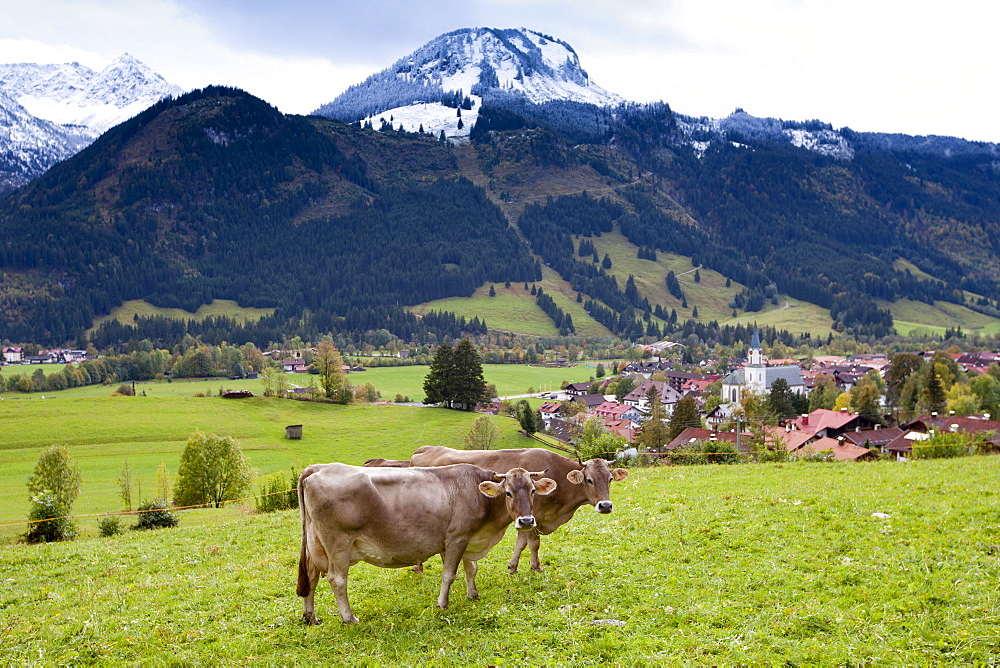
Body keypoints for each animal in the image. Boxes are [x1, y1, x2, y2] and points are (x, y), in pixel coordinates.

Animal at [292, 462, 560, 624]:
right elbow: (449, 575)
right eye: (508, 493)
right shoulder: (456, 538)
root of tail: (318, 468)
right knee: (337, 579)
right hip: (339, 543)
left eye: (533, 491)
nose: (527, 521)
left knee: (311, 578)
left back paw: (310, 616)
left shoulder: (464, 539)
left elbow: (471, 569)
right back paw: (349, 618)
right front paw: (443, 604)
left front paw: (473, 594)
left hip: (315, 544)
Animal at [406, 446, 624, 572]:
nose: (605, 505)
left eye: (610, 479)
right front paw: (536, 567)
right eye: (589, 480)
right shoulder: (534, 516)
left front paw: (513, 566)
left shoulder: (525, 517)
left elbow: (521, 543)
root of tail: (424, 449)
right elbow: (534, 543)